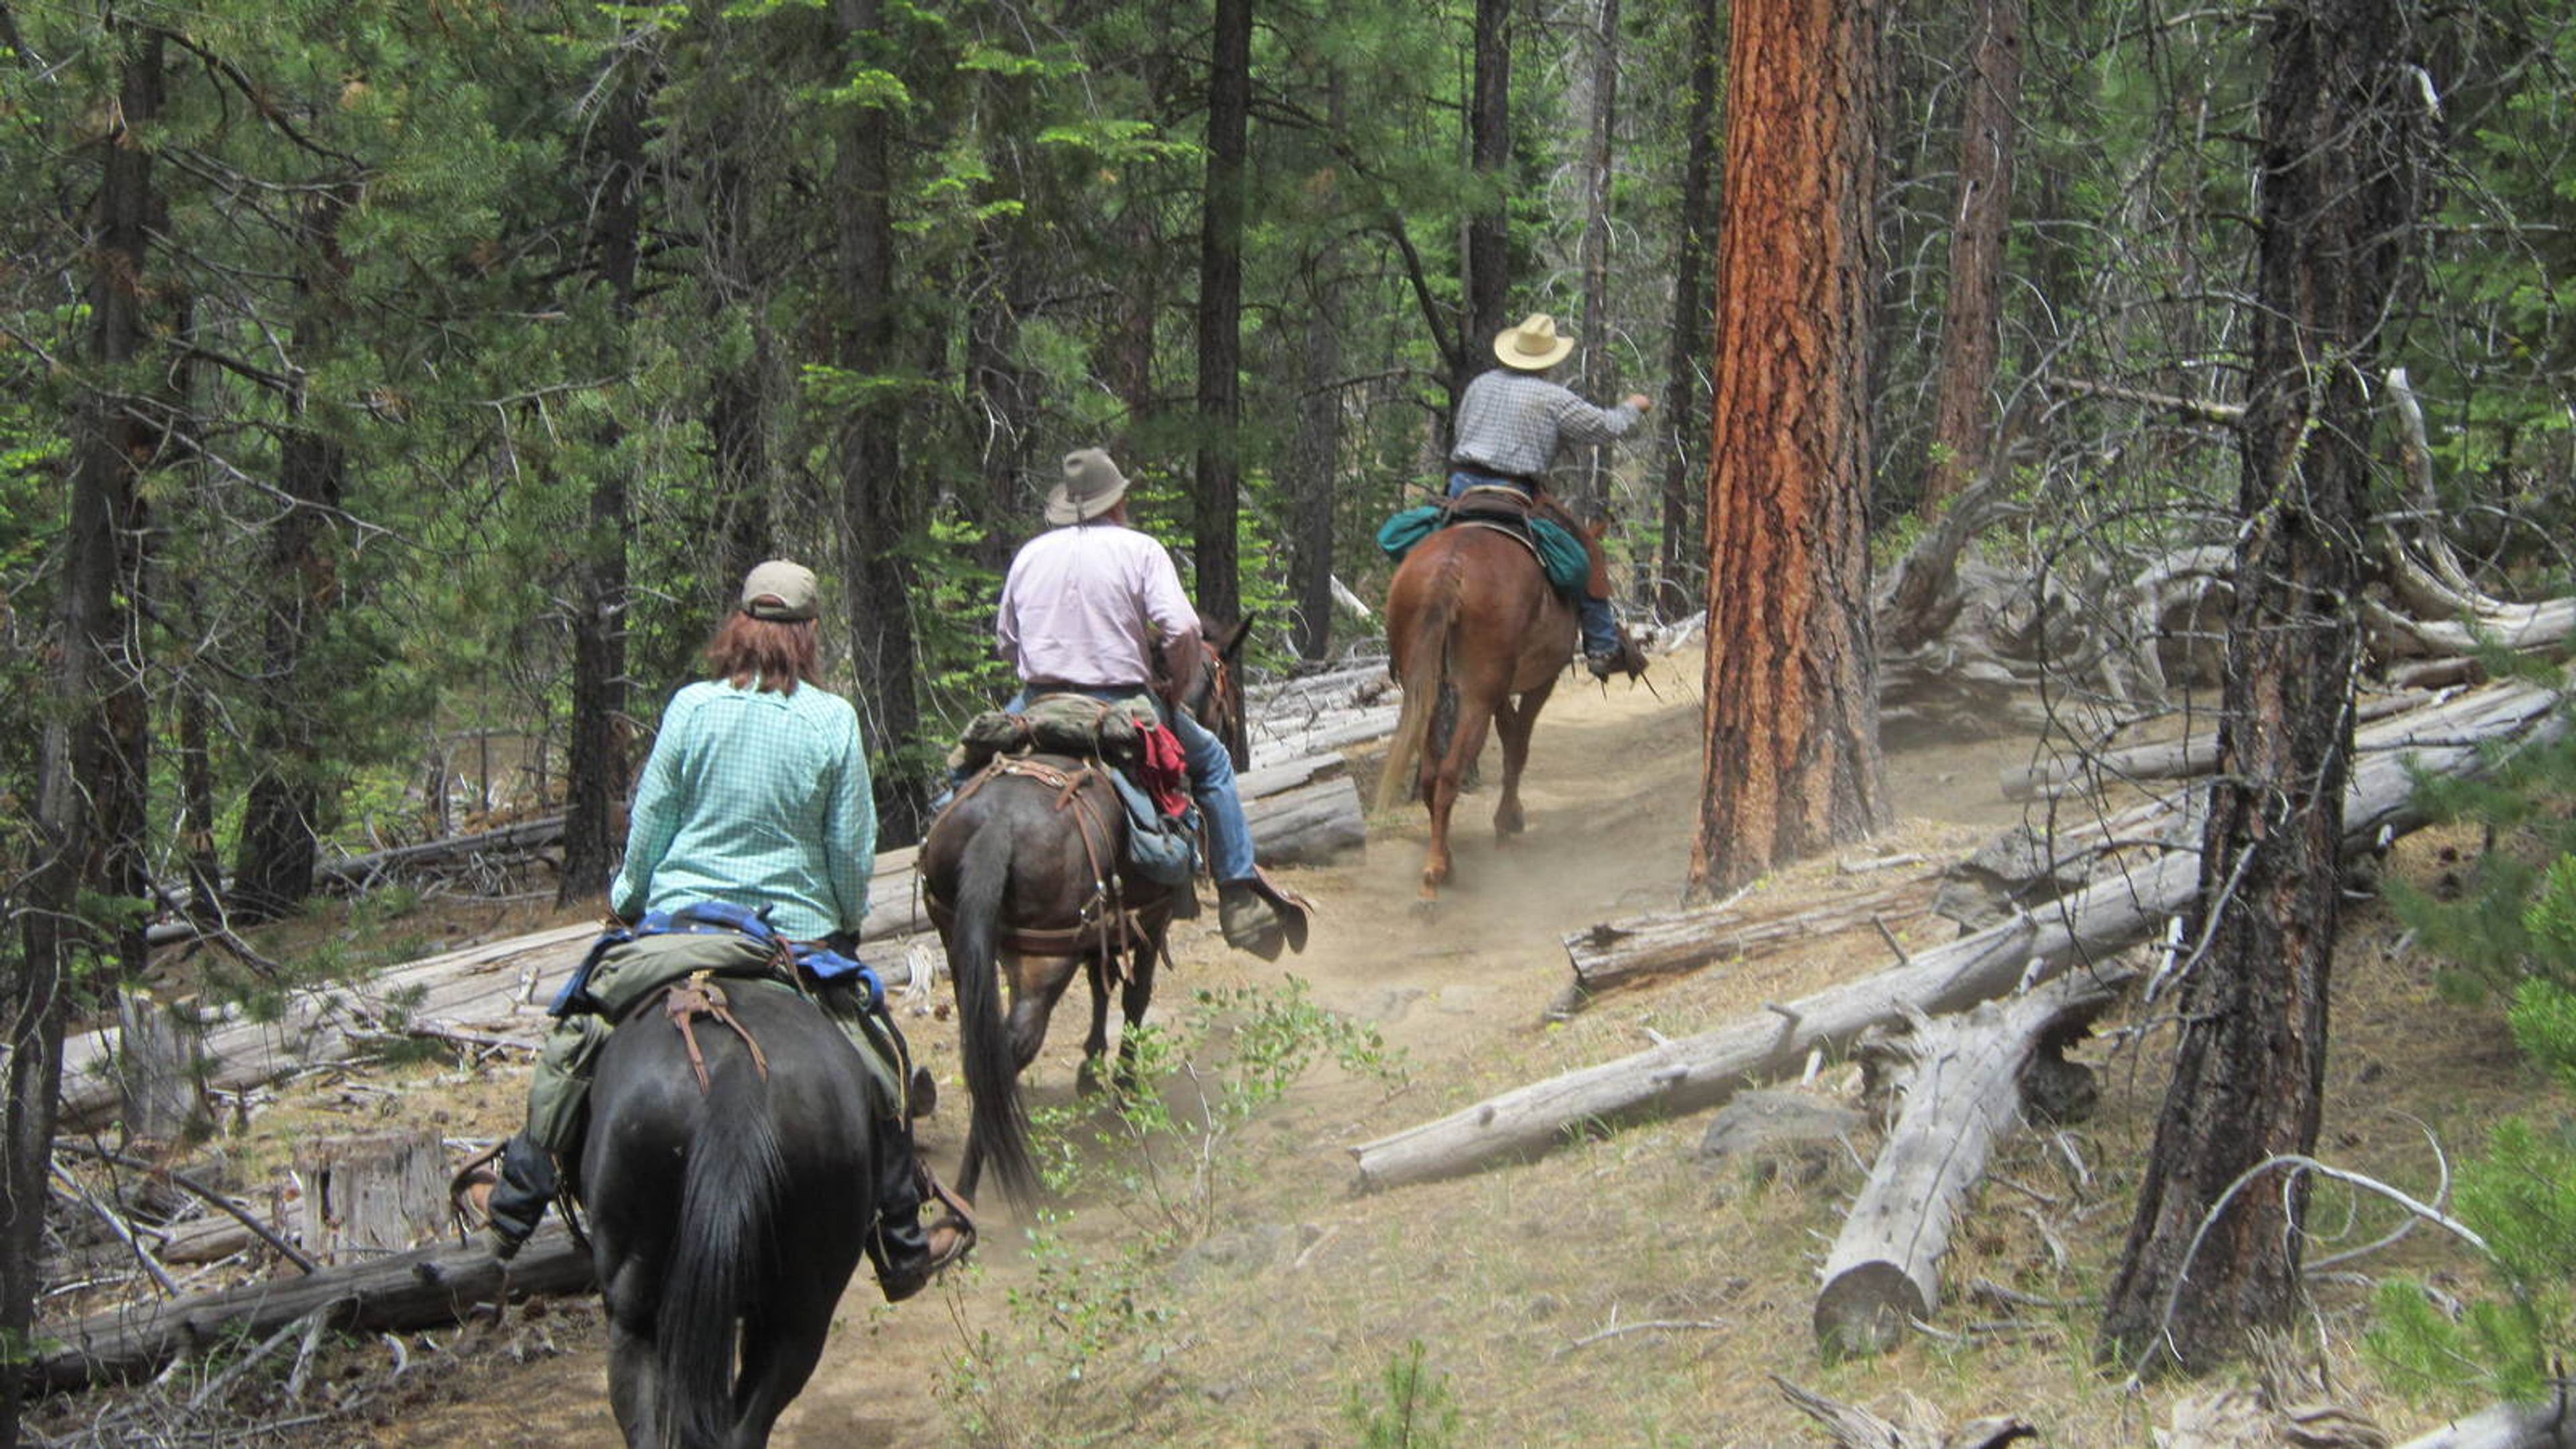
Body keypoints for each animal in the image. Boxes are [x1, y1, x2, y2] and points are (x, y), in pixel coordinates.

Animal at [1381, 502, 1576, 897]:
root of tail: (1450, 566)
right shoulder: (1541, 682)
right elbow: (1518, 746)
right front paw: (1508, 821)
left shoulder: (1501, 691)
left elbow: (1511, 735)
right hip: (1476, 697)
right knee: (1450, 772)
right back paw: (1437, 871)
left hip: (1428, 687)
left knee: (1431, 774)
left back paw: (1444, 861)